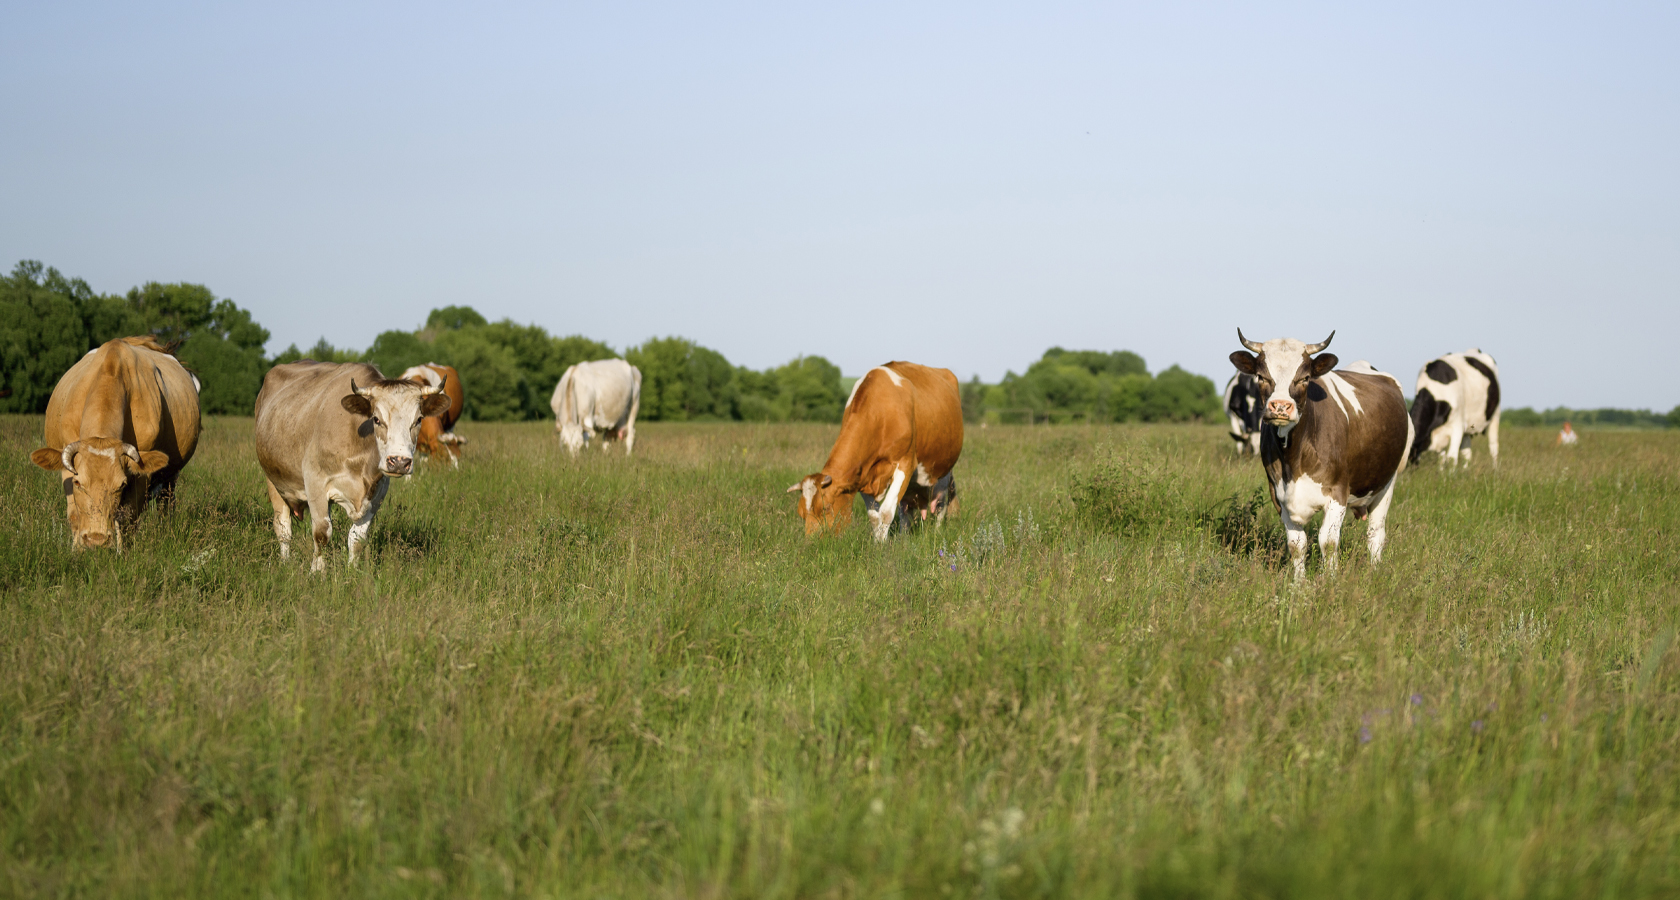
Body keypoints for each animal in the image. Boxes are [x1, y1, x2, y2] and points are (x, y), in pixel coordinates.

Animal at [28, 335, 200, 547]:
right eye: (78, 483)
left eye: (121, 484)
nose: (97, 539)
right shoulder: (66, 469)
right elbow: (74, 515)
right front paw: (77, 550)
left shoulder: (141, 475)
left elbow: (129, 518)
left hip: (171, 476)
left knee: (166, 506)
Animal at [253, 359, 450, 570]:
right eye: (376, 419)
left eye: (419, 419)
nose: (399, 462)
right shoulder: (315, 482)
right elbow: (321, 533)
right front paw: (316, 571)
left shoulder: (377, 494)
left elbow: (357, 539)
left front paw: (352, 571)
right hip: (274, 480)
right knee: (283, 529)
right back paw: (285, 562)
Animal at [782, 361, 967, 540]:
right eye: (801, 514)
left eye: (826, 507)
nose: (812, 543)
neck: (879, 415)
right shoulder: (863, 475)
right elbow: (874, 517)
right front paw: (879, 543)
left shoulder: (905, 463)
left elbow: (886, 513)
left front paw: (882, 548)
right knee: (905, 511)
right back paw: (904, 539)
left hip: (943, 472)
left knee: (940, 506)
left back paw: (936, 533)